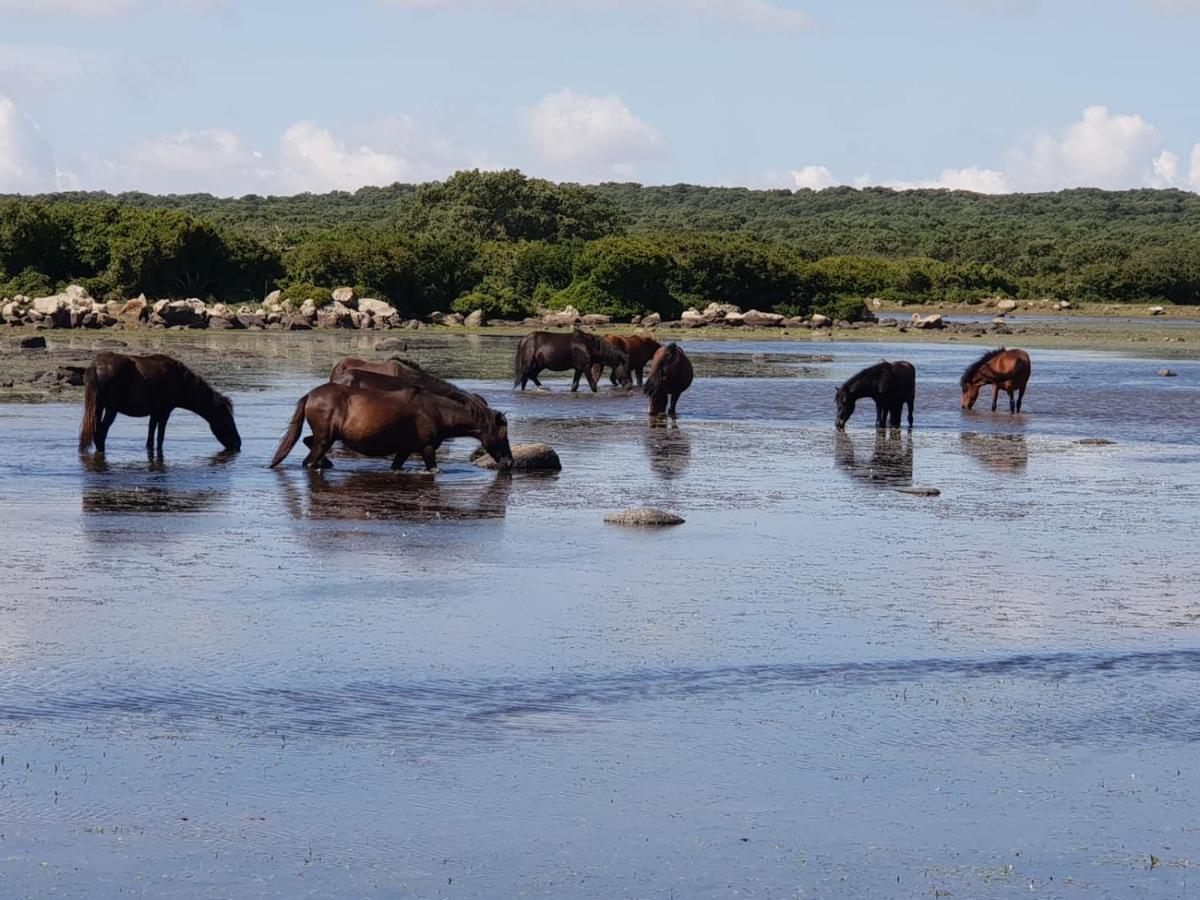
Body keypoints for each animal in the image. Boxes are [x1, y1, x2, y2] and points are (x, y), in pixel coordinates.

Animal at [78, 355, 241, 458]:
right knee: (100, 433)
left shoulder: (155, 412)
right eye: (228, 420)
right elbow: (160, 437)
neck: (180, 381)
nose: (238, 444)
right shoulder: (164, 412)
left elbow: (151, 435)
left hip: (98, 407)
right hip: (111, 409)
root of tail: (94, 366)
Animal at [267, 386, 511, 475]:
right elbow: (434, 469)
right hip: (325, 438)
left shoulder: (404, 451)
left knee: (309, 444)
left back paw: (327, 463)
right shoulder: (427, 448)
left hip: (326, 437)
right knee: (308, 460)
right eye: (502, 435)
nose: (509, 462)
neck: (436, 412)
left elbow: (396, 466)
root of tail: (310, 395)